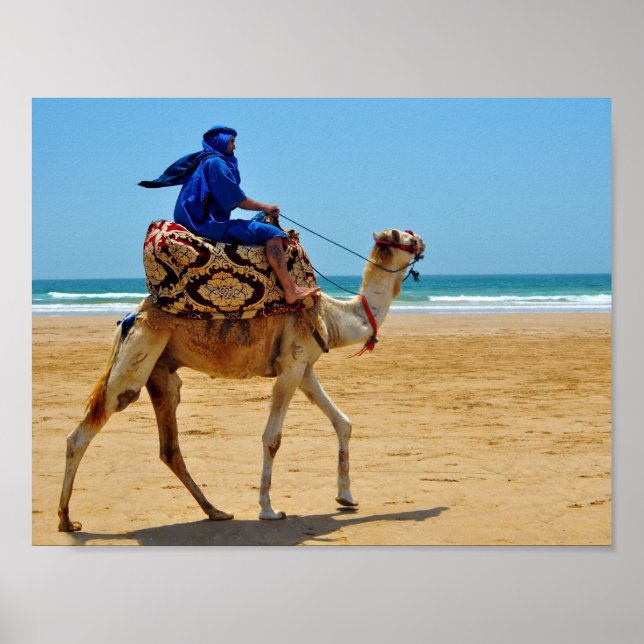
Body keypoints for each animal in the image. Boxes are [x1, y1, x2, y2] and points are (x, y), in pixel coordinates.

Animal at [57, 228, 425, 531]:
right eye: (407, 237)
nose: (423, 242)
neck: (333, 317)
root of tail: (132, 317)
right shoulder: (291, 366)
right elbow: (272, 439)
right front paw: (269, 509)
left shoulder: (304, 367)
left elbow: (343, 422)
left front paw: (346, 497)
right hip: (140, 355)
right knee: (84, 432)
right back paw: (66, 519)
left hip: (161, 371)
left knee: (169, 447)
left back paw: (216, 511)